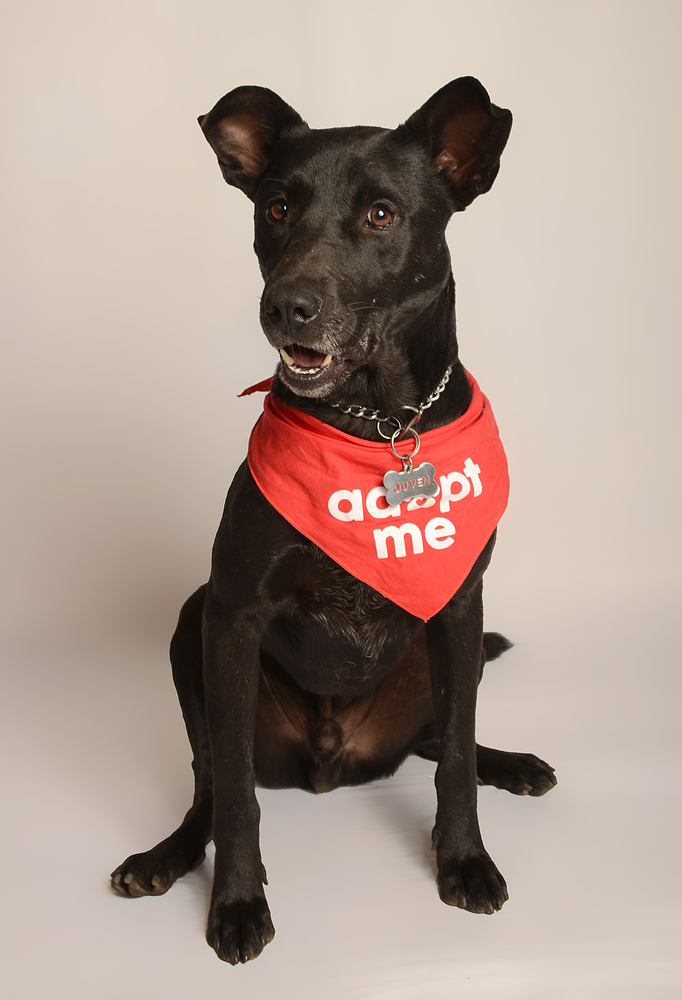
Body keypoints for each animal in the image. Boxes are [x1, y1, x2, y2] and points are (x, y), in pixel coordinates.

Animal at [110, 80, 552, 968]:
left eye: (381, 215)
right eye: (277, 206)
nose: (288, 306)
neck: (378, 426)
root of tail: (330, 767)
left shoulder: (460, 606)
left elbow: (456, 755)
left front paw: (464, 859)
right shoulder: (232, 613)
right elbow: (236, 797)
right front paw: (236, 902)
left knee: (437, 737)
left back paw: (512, 762)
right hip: (190, 628)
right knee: (209, 782)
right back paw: (168, 854)